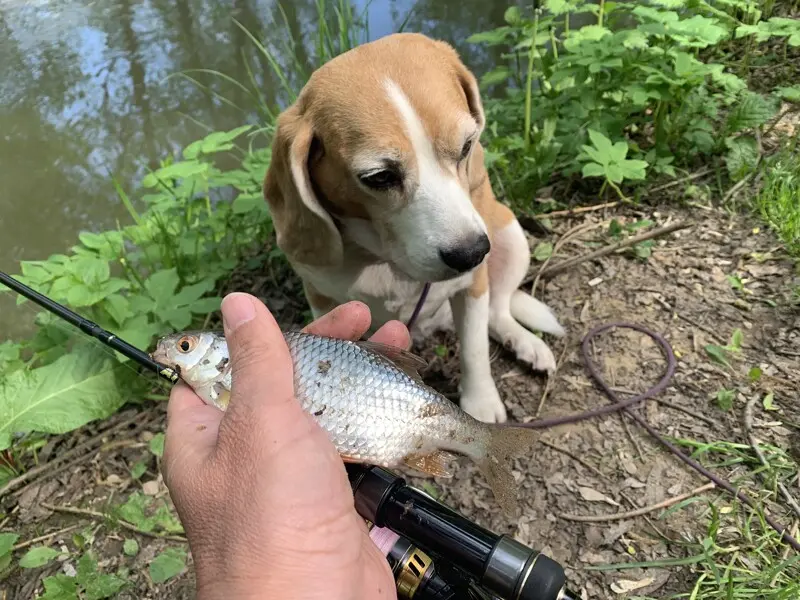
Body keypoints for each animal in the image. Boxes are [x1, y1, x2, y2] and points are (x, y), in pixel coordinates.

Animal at [260, 31, 564, 422]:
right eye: (379, 177)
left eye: (467, 146)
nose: (472, 253)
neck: (384, 260)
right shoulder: (321, 298)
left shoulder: (472, 286)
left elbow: (475, 349)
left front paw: (480, 402)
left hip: (510, 234)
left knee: (497, 310)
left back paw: (525, 342)